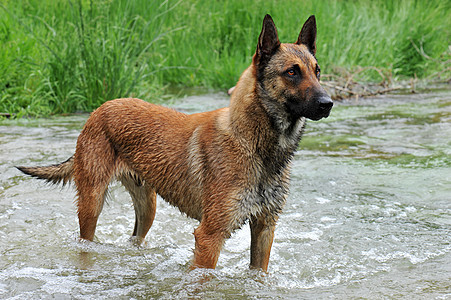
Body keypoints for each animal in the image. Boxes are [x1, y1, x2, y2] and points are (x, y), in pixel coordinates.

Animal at [16, 14, 332, 272]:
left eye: (317, 71)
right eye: (291, 72)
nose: (328, 104)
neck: (253, 144)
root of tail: (100, 108)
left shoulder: (264, 229)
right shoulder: (209, 237)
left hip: (147, 208)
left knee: (136, 238)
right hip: (91, 205)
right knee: (86, 240)